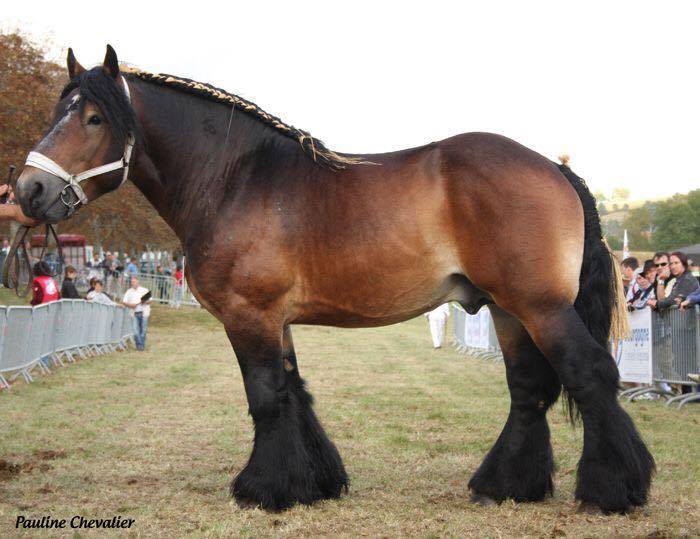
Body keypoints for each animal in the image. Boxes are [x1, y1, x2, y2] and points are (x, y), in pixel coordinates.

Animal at [13, 47, 652, 516]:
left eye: (94, 118)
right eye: (57, 113)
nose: (27, 192)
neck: (237, 178)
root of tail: (555, 168)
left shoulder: (250, 314)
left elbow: (266, 397)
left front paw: (263, 491)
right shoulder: (276, 320)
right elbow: (294, 393)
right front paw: (312, 483)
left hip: (540, 307)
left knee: (590, 376)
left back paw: (612, 492)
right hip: (507, 309)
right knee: (529, 390)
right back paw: (505, 486)